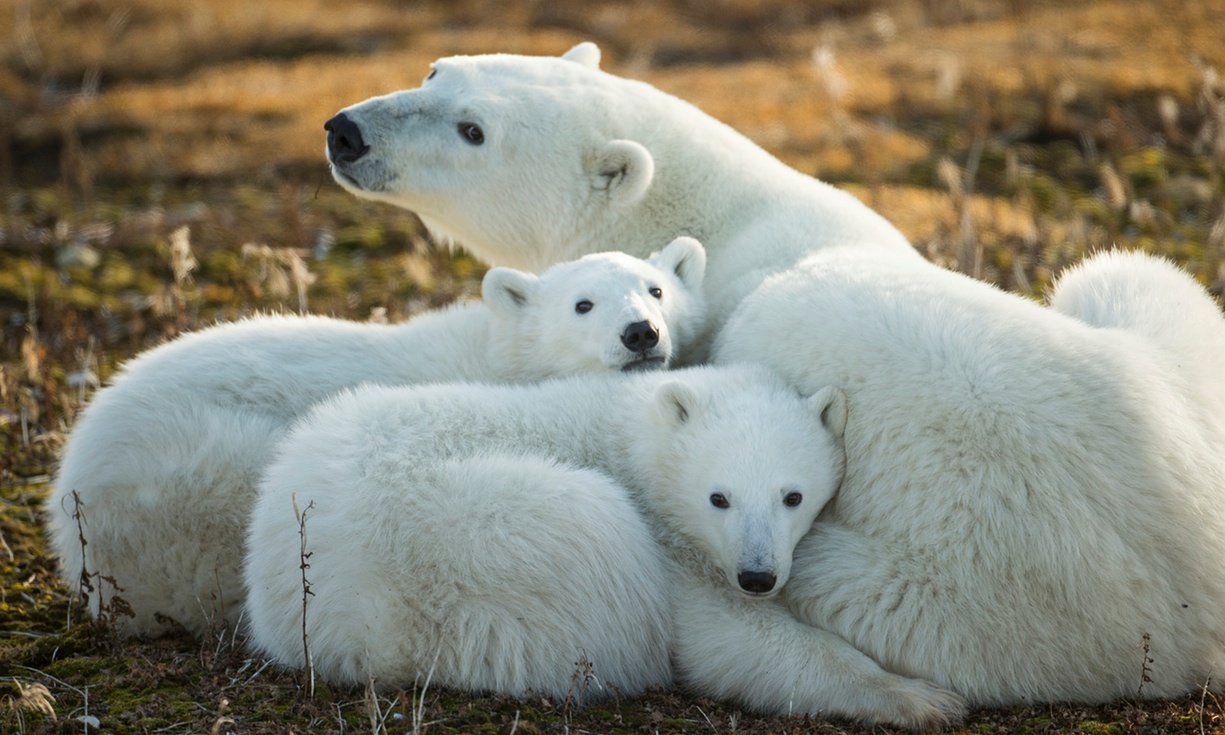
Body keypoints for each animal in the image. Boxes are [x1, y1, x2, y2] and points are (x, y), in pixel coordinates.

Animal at [243, 365, 960, 725]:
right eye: (718, 497)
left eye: (793, 496)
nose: (757, 575)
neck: (630, 432)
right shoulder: (667, 542)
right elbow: (732, 642)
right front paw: (922, 697)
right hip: (474, 539)